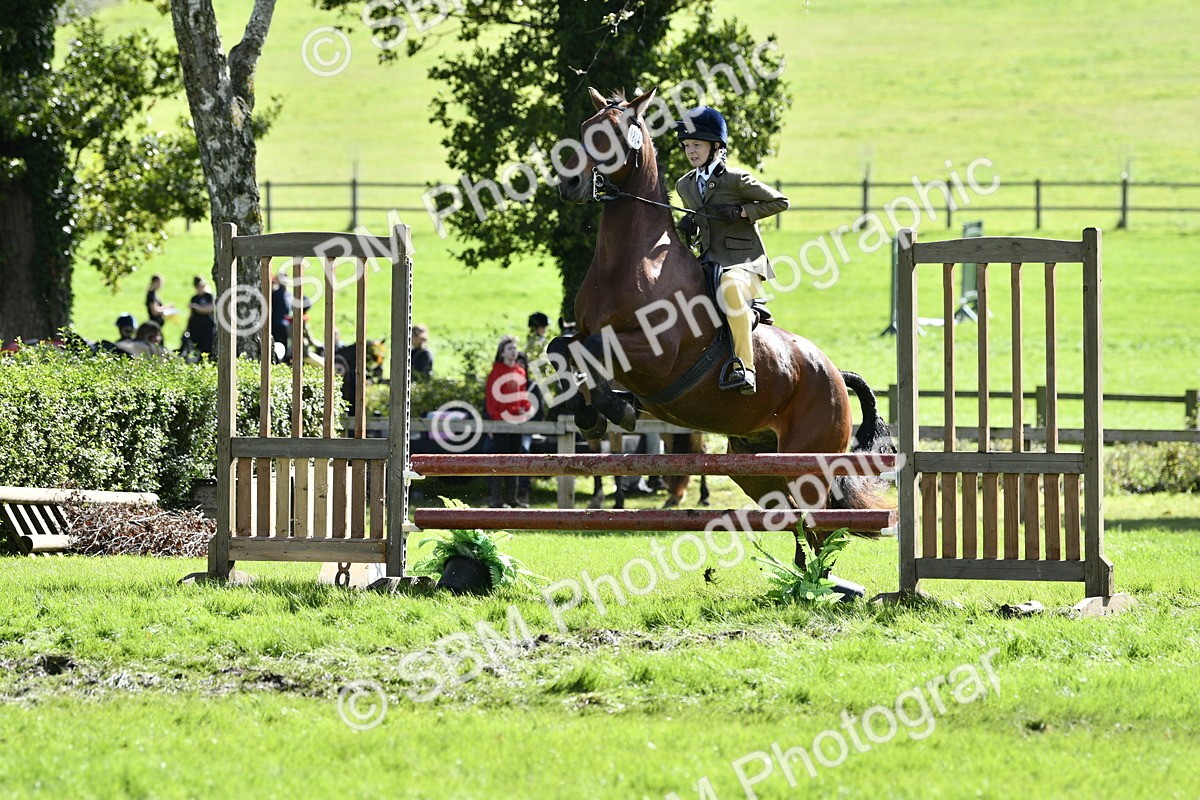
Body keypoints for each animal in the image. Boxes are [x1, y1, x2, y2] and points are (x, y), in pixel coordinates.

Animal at [551, 88, 891, 572]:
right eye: (584, 128)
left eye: (612, 133)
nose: (571, 185)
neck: (631, 261)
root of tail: (835, 374)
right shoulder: (583, 335)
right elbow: (562, 348)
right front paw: (593, 414)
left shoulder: (656, 355)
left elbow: (593, 348)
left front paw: (615, 408)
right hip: (755, 464)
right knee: (796, 519)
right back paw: (802, 576)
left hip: (807, 460)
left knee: (822, 522)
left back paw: (819, 583)